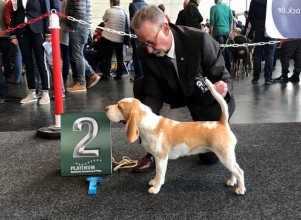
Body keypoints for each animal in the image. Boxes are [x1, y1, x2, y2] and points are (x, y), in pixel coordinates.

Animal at [104, 78, 245, 195]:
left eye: (120, 107)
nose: (106, 108)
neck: (148, 124)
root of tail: (221, 123)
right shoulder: (157, 158)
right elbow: (157, 173)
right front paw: (154, 181)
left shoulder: (161, 158)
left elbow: (160, 174)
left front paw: (156, 188)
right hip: (227, 157)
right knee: (234, 170)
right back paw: (232, 182)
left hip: (225, 156)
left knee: (239, 171)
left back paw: (240, 189)